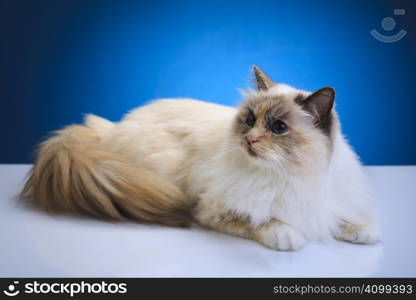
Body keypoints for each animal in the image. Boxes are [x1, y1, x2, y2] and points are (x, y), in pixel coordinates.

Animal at [22, 65, 380, 251]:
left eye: (278, 128)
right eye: (250, 120)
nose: (249, 139)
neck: (291, 175)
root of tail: (110, 128)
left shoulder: (325, 200)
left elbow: (342, 217)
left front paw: (365, 231)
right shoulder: (213, 208)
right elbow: (264, 221)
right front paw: (288, 235)